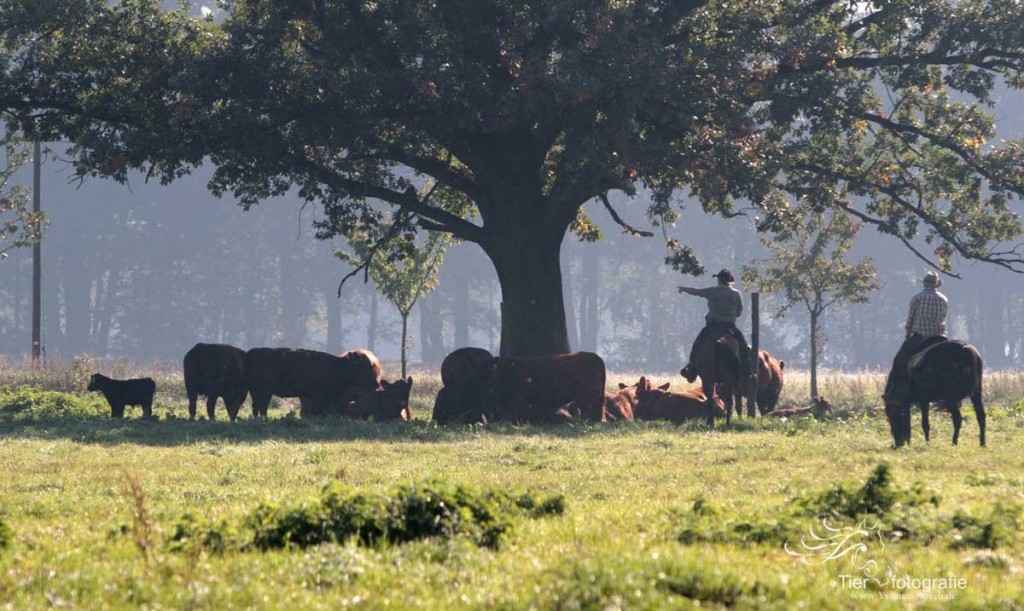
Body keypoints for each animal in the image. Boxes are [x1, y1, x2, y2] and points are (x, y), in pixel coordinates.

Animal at [244, 345, 380, 417]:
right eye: (366, 367)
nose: (376, 384)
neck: (339, 366)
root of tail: (251, 353)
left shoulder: (307, 396)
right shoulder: (318, 396)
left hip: (258, 392)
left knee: (256, 406)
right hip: (264, 392)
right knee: (262, 406)